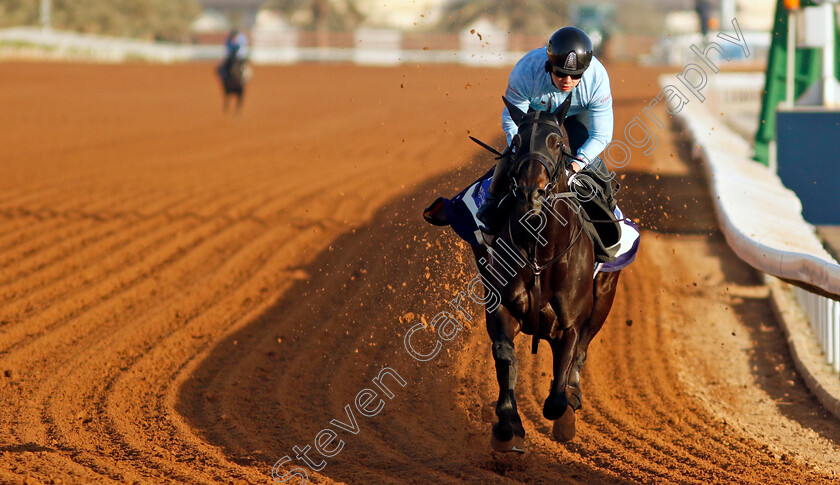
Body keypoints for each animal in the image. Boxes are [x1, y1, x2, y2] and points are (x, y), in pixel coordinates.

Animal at [476, 96, 620, 452]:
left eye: (557, 143)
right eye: (516, 142)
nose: (532, 192)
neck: (540, 253)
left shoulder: (570, 323)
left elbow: (557, 393)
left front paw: (566, 411)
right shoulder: (501, 307)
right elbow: (505, 358)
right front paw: (507, 424)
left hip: (604, 298)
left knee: (582, 352)